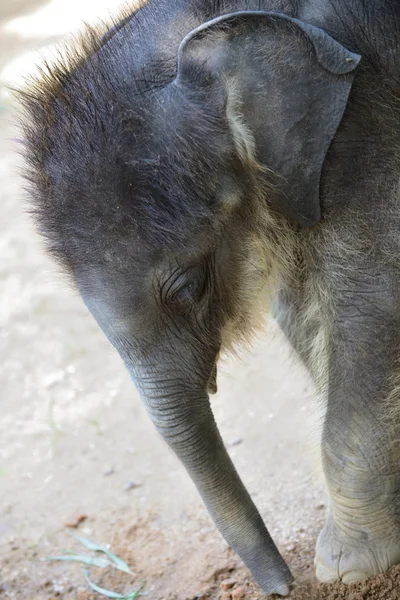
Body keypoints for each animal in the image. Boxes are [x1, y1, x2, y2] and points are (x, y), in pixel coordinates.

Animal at [19, 0, 400, 592]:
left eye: (188, 287)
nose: (283, 587)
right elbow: (300, 312)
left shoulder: (372, 132)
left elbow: (370, 306)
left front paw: (347, 570)